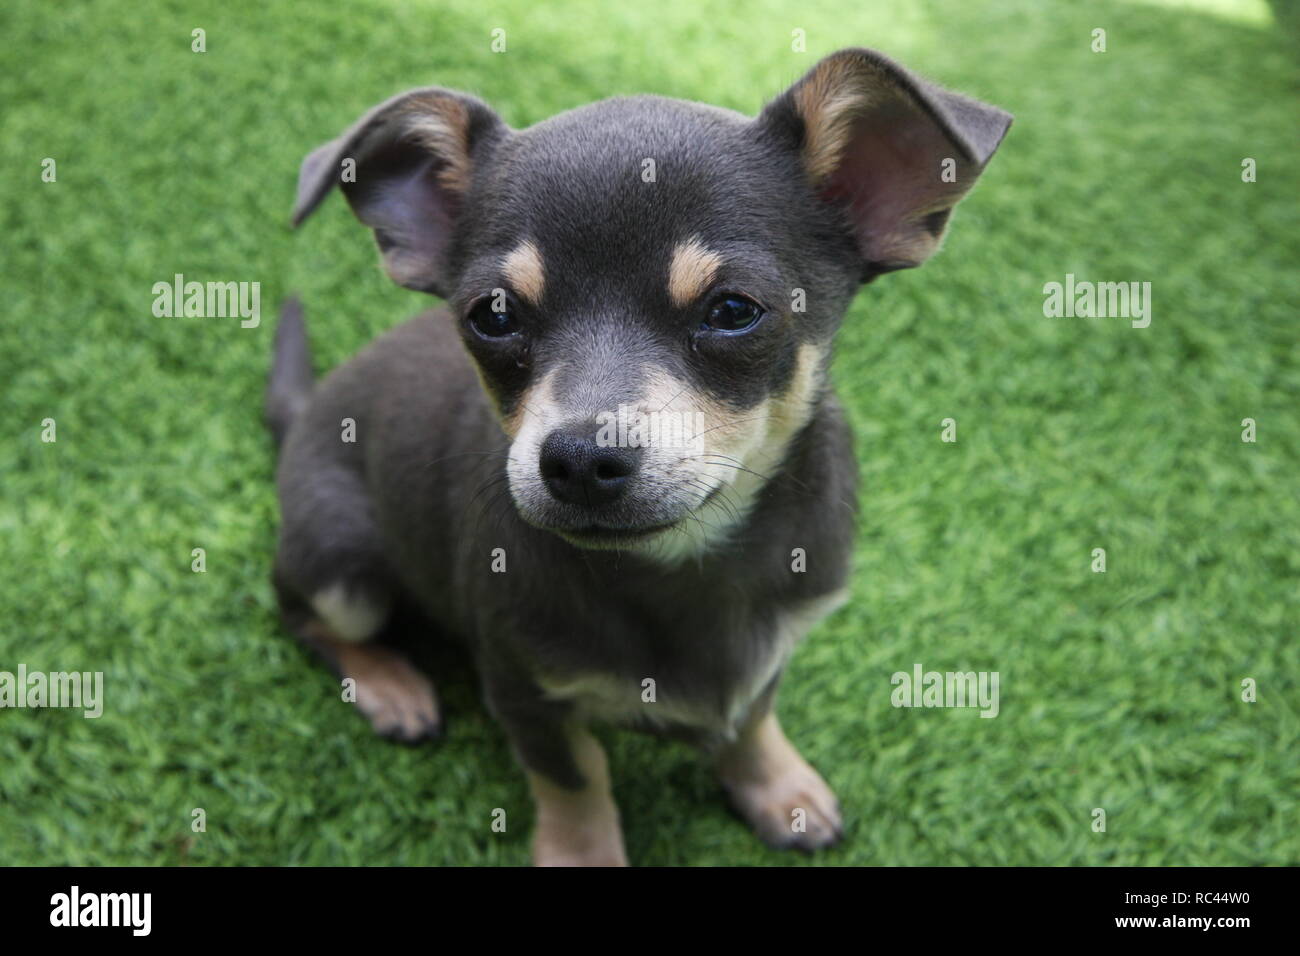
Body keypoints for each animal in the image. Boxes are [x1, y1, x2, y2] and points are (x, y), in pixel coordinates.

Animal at [269, 46, 1008, 868]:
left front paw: (775, 786)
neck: (684, 564)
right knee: (300, 611)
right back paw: (388, 683)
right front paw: (583, 854)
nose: (579, 460)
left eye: (733, 311)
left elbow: (752, 717)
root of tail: (304, 415)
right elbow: (575, 780)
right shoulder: (523, 690)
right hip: (342, 565)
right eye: (493, 315)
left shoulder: (775, 646)